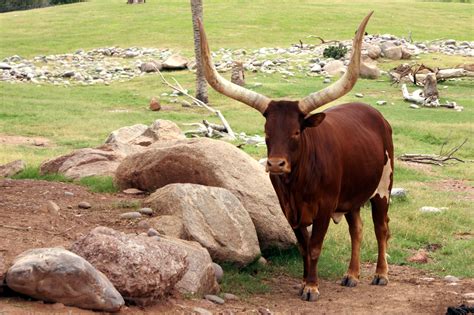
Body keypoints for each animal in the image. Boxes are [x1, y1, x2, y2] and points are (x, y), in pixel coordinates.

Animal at [196, 12, 392, 302]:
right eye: (266, 131)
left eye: (297, 132)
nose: (276, 164)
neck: (298, 183)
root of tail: (376, 116)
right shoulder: (289, 211)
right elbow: (303, 247)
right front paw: (303, 282)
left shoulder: (324, 207)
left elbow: (315, 247)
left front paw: (312, 287)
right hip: (352, 196)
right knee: (356, 229)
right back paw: (352, 275)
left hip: (383, 188)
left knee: (381, 228)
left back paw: (380, 274)